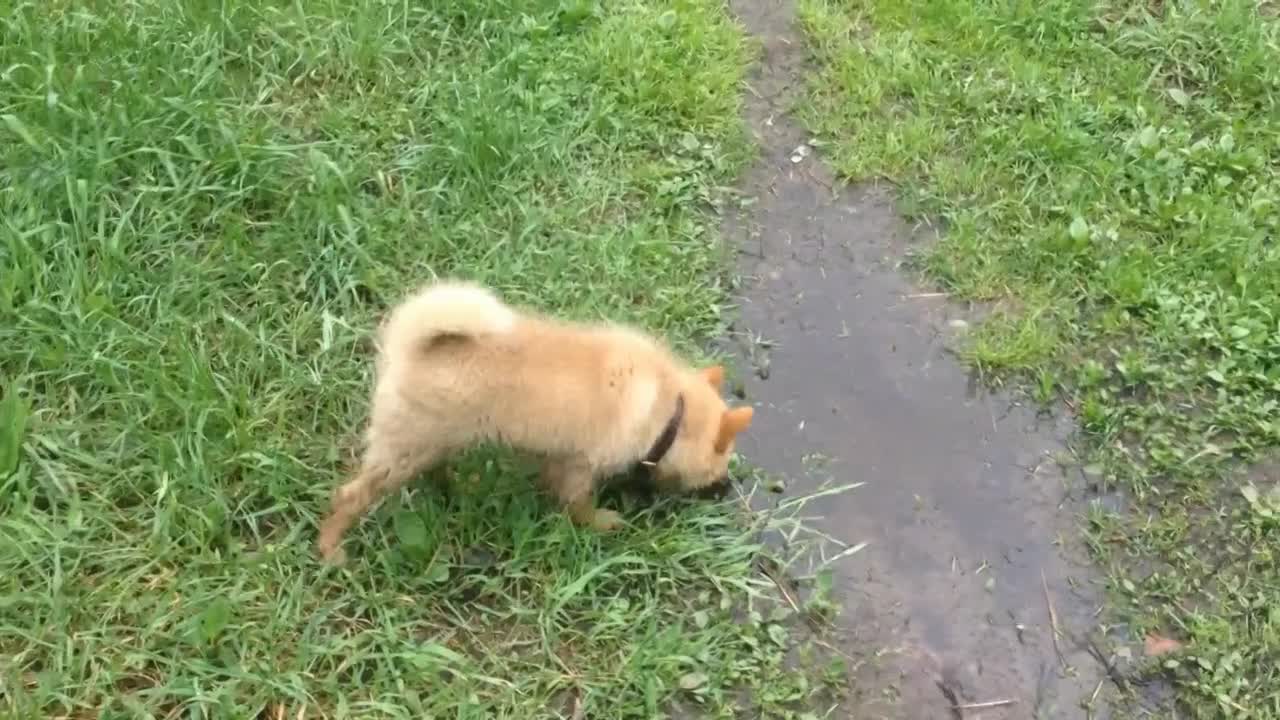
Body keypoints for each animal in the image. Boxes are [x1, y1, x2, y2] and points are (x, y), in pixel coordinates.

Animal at [317, 280, 747, 561]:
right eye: (721, 460)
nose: (727, 488)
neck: (670, 409)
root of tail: (413, 347)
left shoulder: (560, 457)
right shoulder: (582, 465)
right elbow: (579, 504)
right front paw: (600, 522)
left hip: (437, 439)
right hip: (405, 449)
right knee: (349, 496)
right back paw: (330, 548)